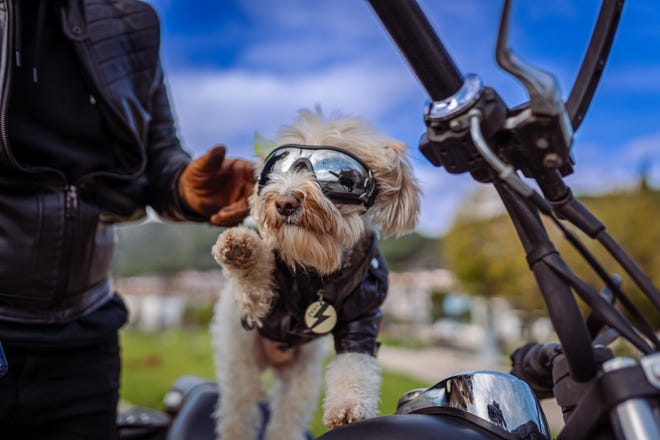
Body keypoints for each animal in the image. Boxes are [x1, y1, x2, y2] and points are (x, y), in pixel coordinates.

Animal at [209, 108, 420, 438]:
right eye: (277, 167)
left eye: (339, 175)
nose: (284, 202)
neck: (318, 268)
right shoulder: (261, 308)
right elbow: (256, 281)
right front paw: (243, 248)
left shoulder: (362, 317)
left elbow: (354, 365)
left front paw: (347, 408)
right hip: (238, 366)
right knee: (238, 415)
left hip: (300, 380)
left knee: (286, 418)